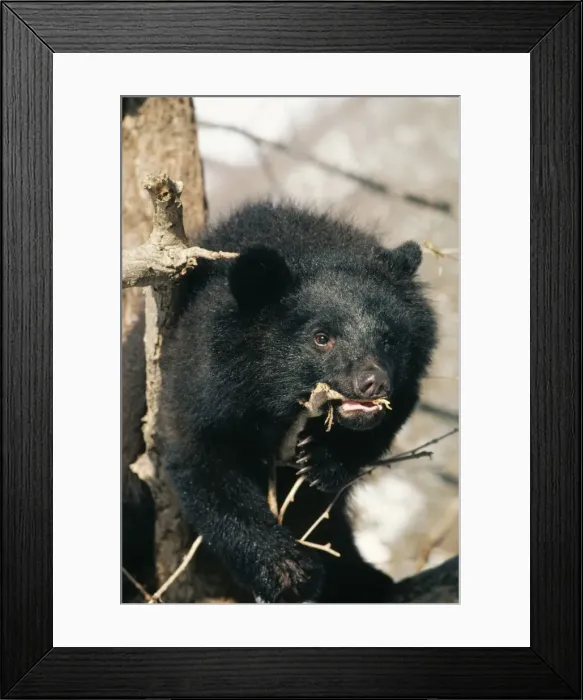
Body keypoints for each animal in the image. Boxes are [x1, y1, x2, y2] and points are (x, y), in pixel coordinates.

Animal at [155, 201, 439, 603]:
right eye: (322, 337)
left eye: (389, 339)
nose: (373, 383)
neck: (276, 402)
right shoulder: (204, 383)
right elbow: (204, 465)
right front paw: (290, 573)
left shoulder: (406, 382)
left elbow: (378, 429)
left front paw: (321, 461)